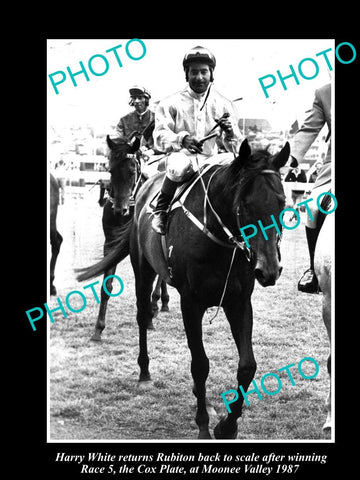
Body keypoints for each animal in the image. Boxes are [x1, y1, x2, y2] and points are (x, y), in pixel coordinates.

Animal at [90, 135, 169, 342]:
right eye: (110, 170)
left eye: (132, 171)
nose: (120, 209)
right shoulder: (110, 245)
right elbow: (106, 286)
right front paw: (98, 328)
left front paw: (148, 318)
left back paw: (156, 304)